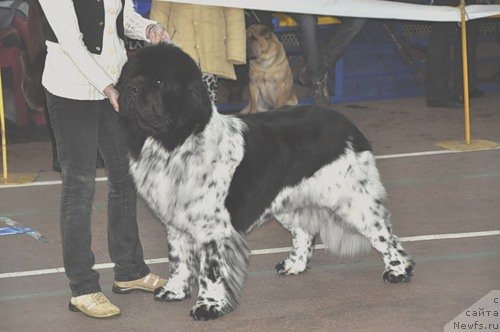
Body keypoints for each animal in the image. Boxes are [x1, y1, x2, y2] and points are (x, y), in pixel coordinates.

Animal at [117, 42, 414, 320]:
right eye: (130, 75)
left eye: (159, 82)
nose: (130, 90)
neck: (175, 142)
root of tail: (349, 126)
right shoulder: (175, 222)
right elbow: (178, 260)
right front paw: (174, 291)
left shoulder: (213, 229)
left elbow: (210, 271)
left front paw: (208, 306)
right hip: (290, 201)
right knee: (305, 233)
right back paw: (294, 265)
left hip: (354, 201)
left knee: (385, 235)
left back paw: (398, 271)